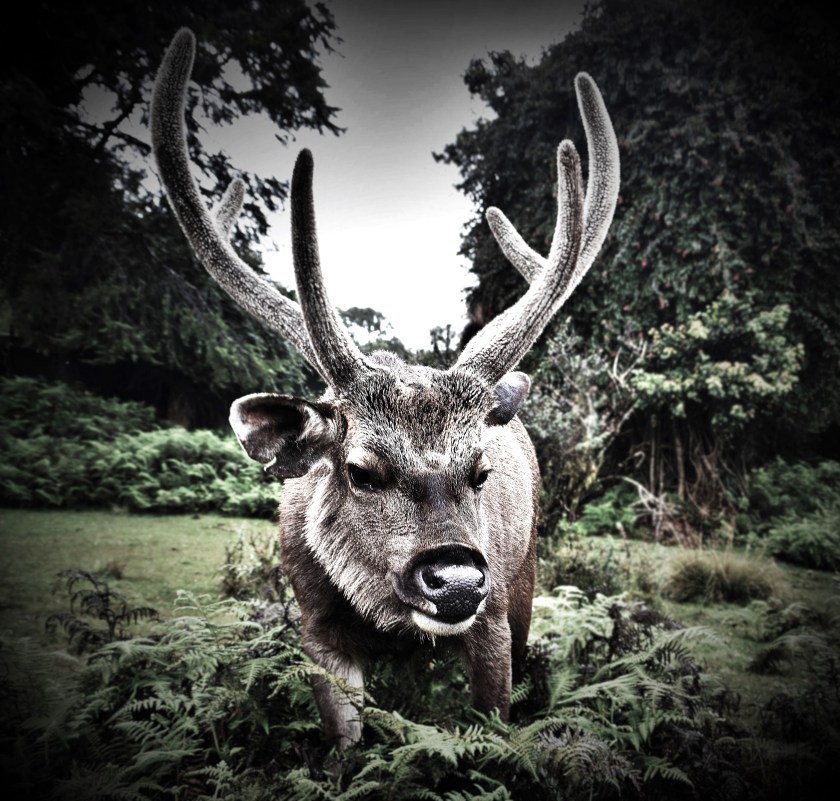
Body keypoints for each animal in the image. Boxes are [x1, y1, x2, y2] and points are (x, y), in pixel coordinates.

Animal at [150, 28, 619, 748]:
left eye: (481, 471)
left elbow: (491, 723)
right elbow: (345, 743)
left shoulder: (493, 620)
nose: (456, 579)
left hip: (526, 574)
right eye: (361, 469)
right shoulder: (314, 624)